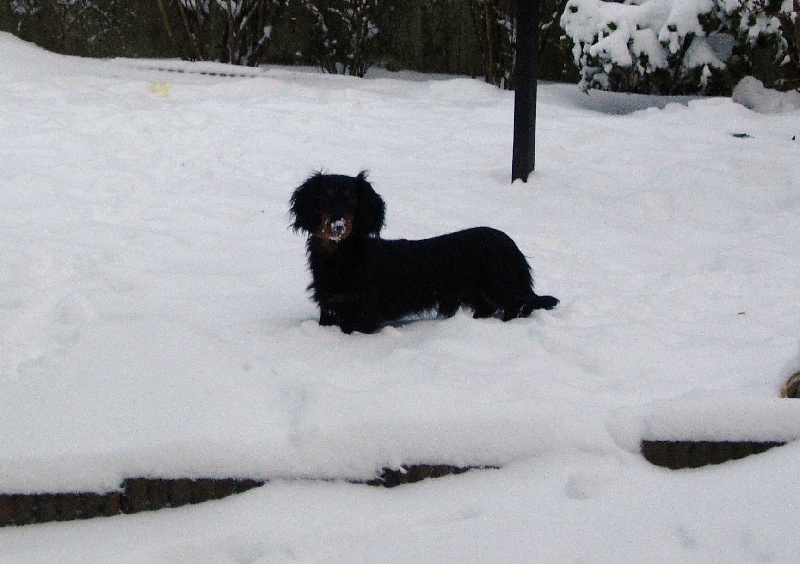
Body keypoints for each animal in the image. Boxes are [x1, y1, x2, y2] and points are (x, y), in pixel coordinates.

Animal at [290, 170, 560, 332]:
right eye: (324, 198)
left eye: (353, 200)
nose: (337, 226)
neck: (340, 257)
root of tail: (513, 246)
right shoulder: (329, 309)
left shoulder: (364, 313)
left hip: (502, 287)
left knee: (517, 307)